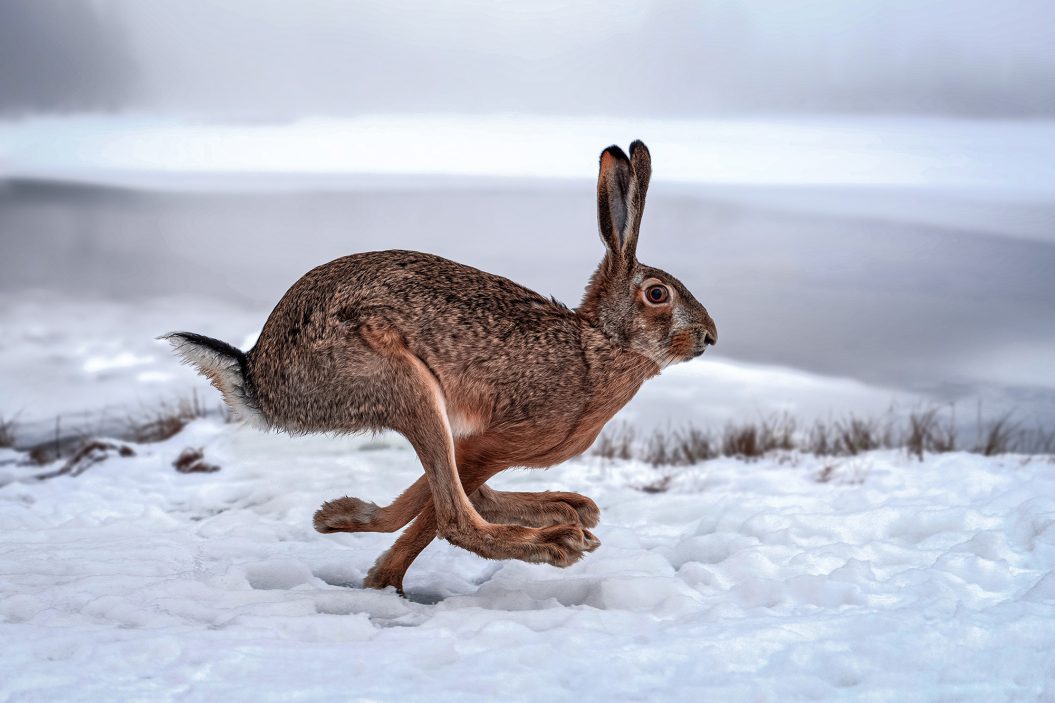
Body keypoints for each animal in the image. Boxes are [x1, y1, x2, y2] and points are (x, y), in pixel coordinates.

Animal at [163, 140, 717, 593]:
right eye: (657, 294)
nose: (710, 338)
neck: (596, 345)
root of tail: (259, 379)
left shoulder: (478, 442)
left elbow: (426, 502)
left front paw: (355, 538)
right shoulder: (499, 439)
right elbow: (434, 515)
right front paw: (380, 576)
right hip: (404, 383)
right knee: (456, 517)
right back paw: (556, 538)